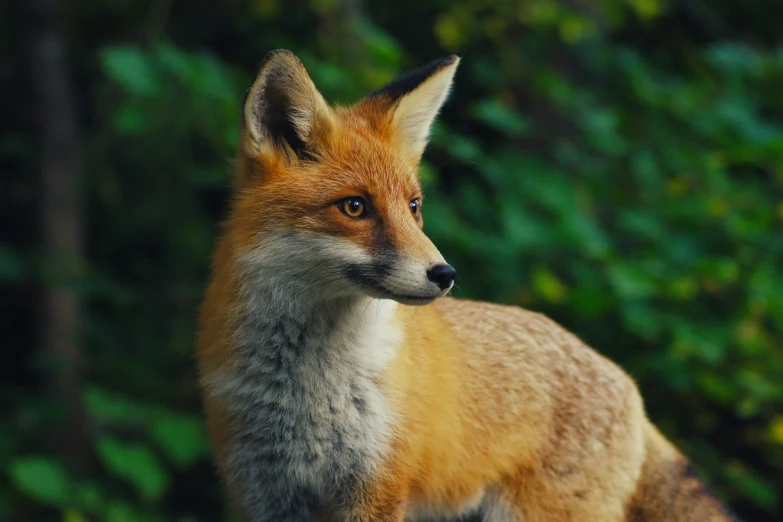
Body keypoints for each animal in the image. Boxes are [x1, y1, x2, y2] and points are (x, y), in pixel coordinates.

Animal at [196, 49, 740, 520]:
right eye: (354, 207)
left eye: (414, 207)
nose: (445, 274)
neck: (306, 391)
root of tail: (627, 384)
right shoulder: (265, 493)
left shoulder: (378, 490)